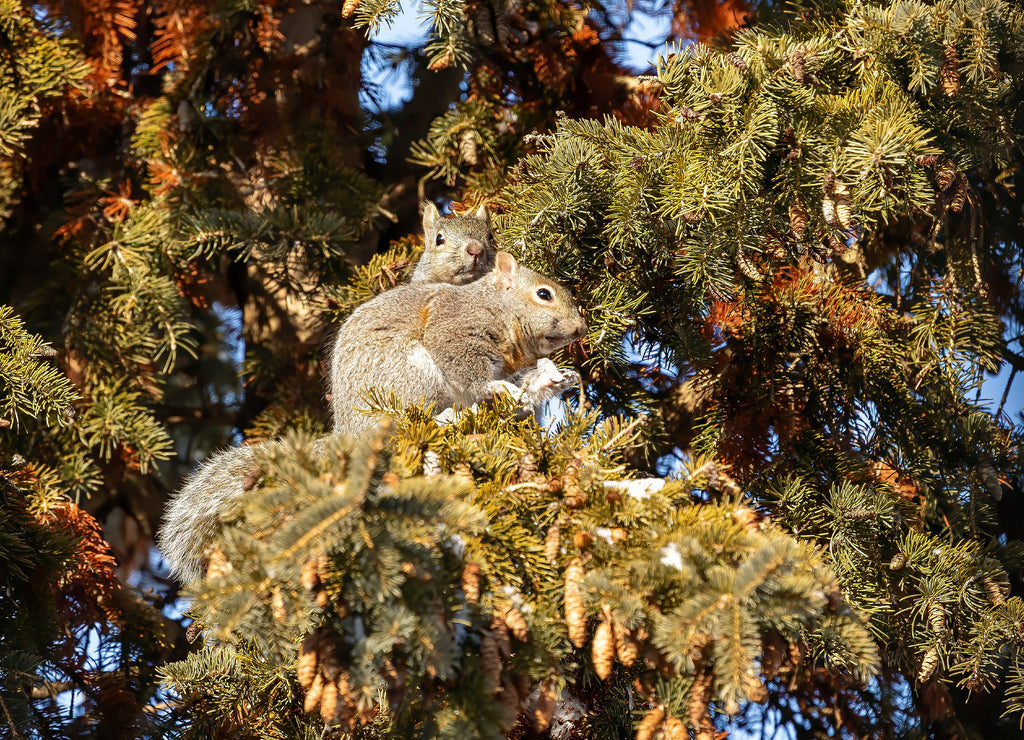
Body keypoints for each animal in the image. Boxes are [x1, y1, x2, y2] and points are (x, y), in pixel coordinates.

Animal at [329, 250, 587, 437]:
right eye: (544, 294)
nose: (582, 328)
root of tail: (347, 430)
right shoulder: (453, 327)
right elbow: (470, 373)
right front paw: (497, 387)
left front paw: (554, 378)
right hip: (409, 376)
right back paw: (444, 419)